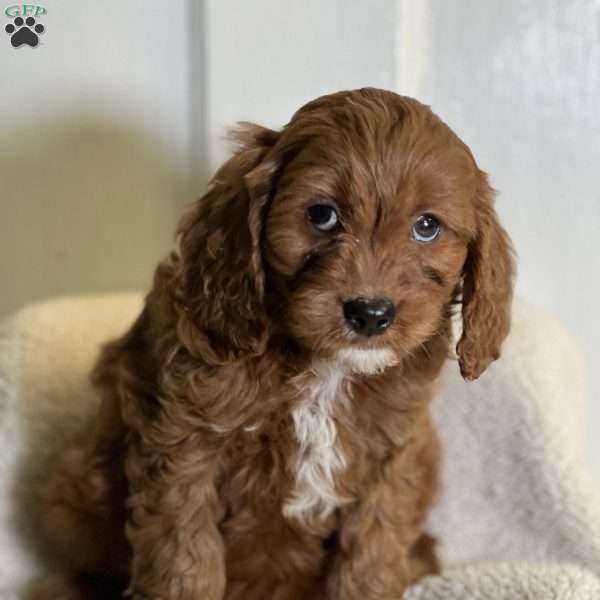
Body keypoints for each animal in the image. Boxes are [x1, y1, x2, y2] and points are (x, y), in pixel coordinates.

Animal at [32, 89, 512, 600]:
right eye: (322, 215)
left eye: (426, 226)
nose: (370, 313)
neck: (324, 368)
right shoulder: (184, 444)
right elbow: (184, 555)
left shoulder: (393, 455)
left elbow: (371, 553)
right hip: (72, 496)